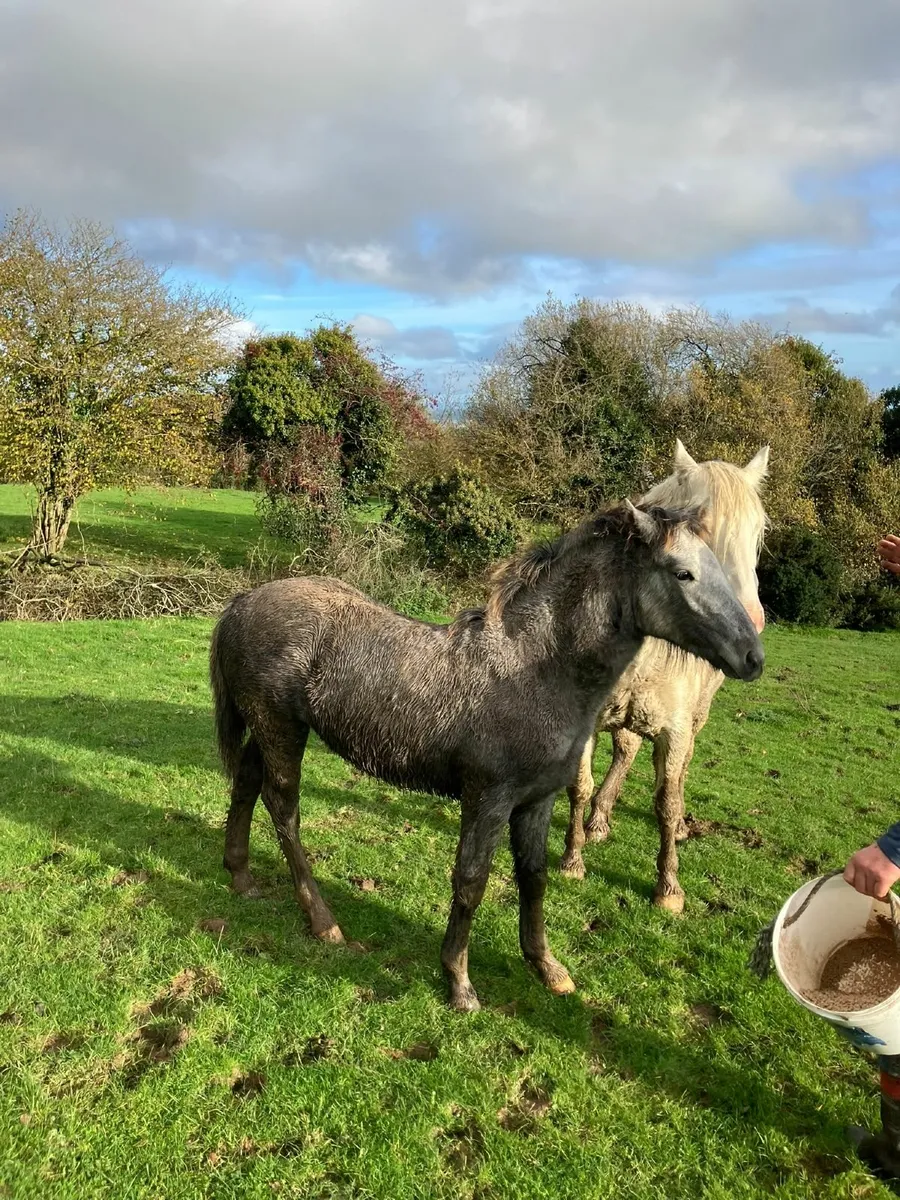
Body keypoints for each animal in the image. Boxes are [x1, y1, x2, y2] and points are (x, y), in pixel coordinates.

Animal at [210, 501, 764, 1012]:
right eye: (682, 572)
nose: (753, 657)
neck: (535, 669)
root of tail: (241, 601)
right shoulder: (488, 798)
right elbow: (471, 881)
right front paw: (459, 982)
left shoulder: (537, 800)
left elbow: (534, 878)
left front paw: (547, 966)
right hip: (281, 727)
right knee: (283, 808)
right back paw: (322, 921)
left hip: (271, 728)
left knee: (247, 782)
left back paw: (240, 876)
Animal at [558, 441, 770, 914]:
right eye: (701, 527)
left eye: (759, 533)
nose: (750, 625)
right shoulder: (586, 720)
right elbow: (580, 785)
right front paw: (572, 860)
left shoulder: (675, 731)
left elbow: (667, 804)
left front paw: (669, 889)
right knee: (625, 751)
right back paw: (599, 821)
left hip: (695, 719)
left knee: (678, 768)